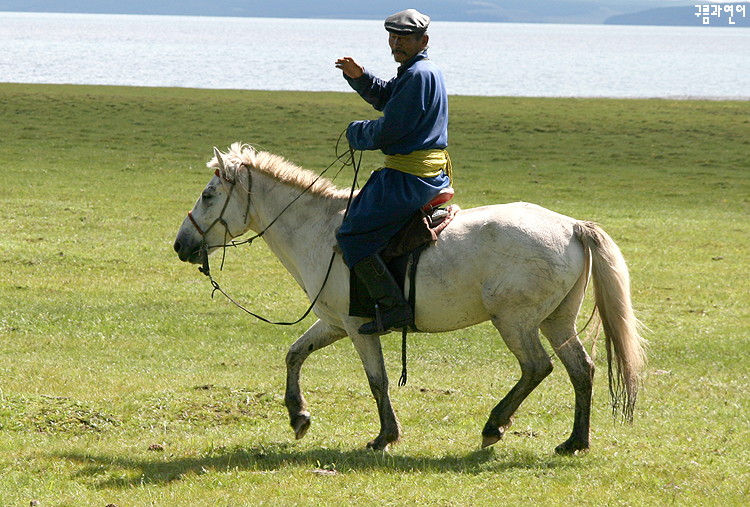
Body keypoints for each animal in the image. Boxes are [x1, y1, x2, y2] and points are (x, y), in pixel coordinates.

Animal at [175, 144, 648, 456]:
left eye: (208, 195)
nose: (181, 245)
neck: (320, 230)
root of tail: (572, 226)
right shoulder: (333, 323)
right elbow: (294, 354)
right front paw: (298, 417)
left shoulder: (356, 327)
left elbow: (377, 379)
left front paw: (385, 435)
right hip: (556, 321)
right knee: (581, 370)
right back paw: (575, 441)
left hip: (516, 322)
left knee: (537, 367)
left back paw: (494, 426)